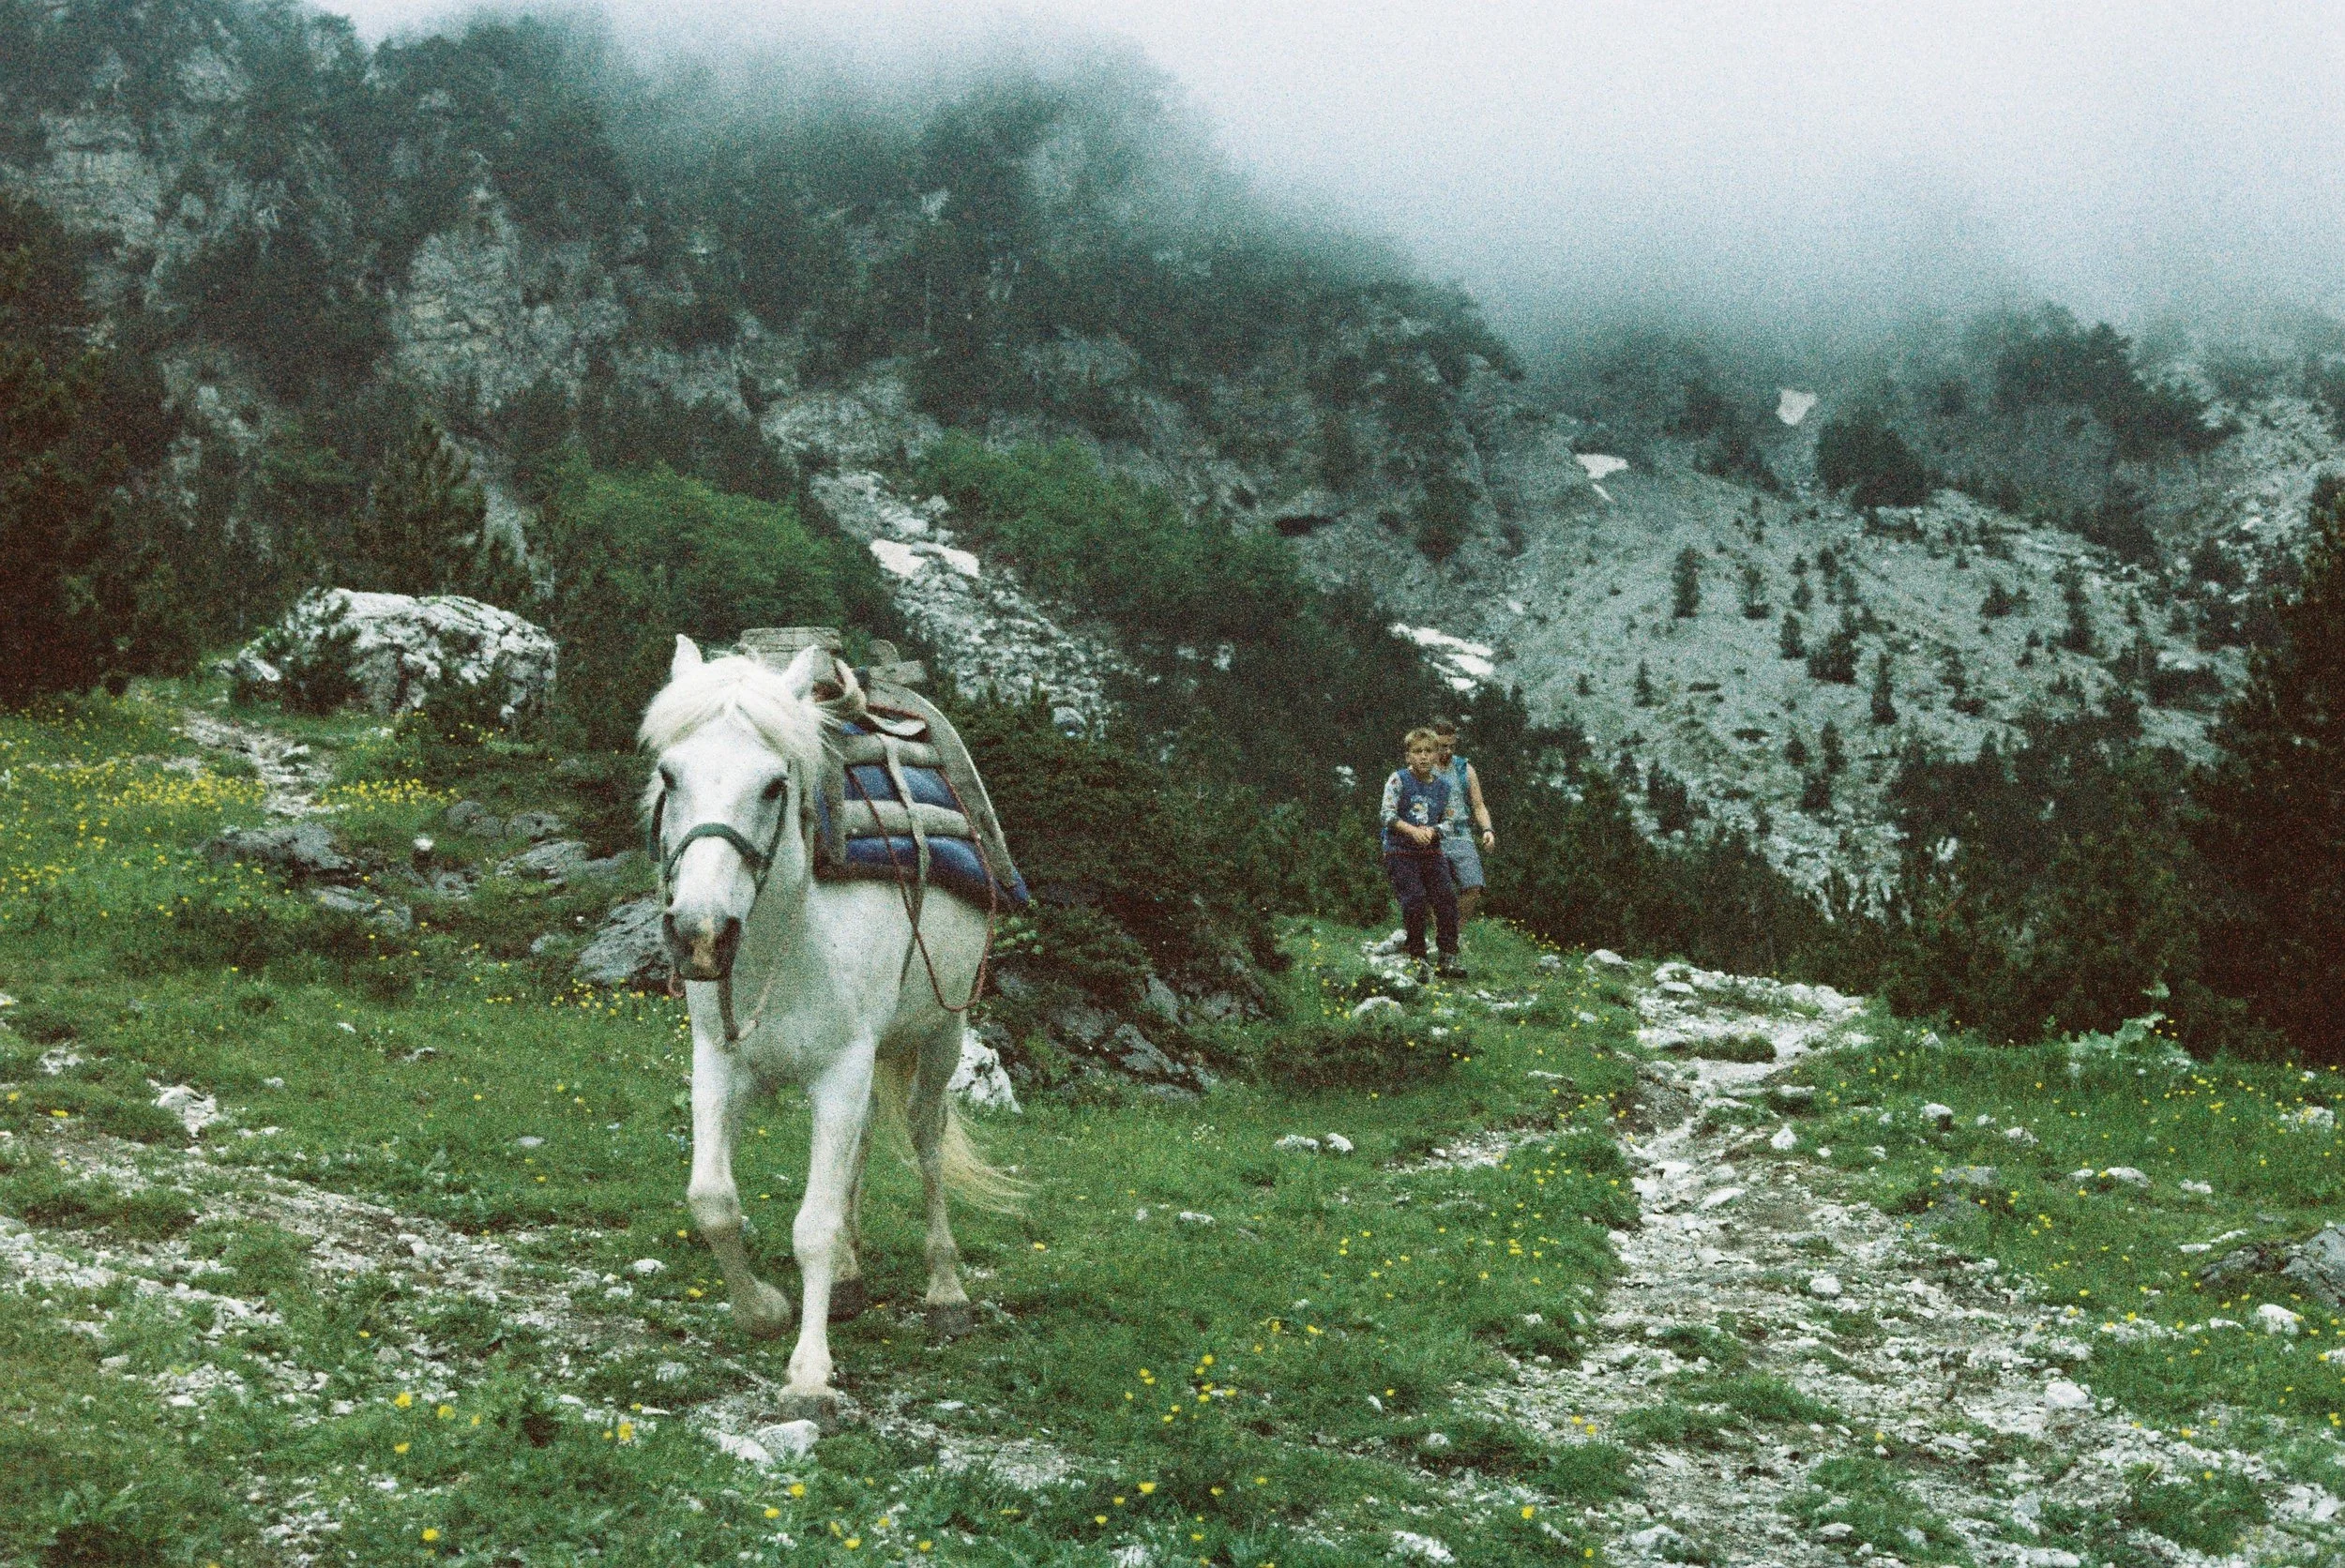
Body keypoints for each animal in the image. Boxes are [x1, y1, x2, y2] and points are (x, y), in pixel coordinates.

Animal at [643, 636, 1018, 1424]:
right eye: (669, 774)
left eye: (773, 785)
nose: (700, 934)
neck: (790, 935)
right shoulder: (720, 1062)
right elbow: (713, 1200)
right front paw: (763, 1309)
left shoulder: (842, 1069)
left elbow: (811, 1224)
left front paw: (810, 1373)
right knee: (865, 1144)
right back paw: (848, 1279)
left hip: (939, 1038)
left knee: (925, 1142)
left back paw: (945, 1291)